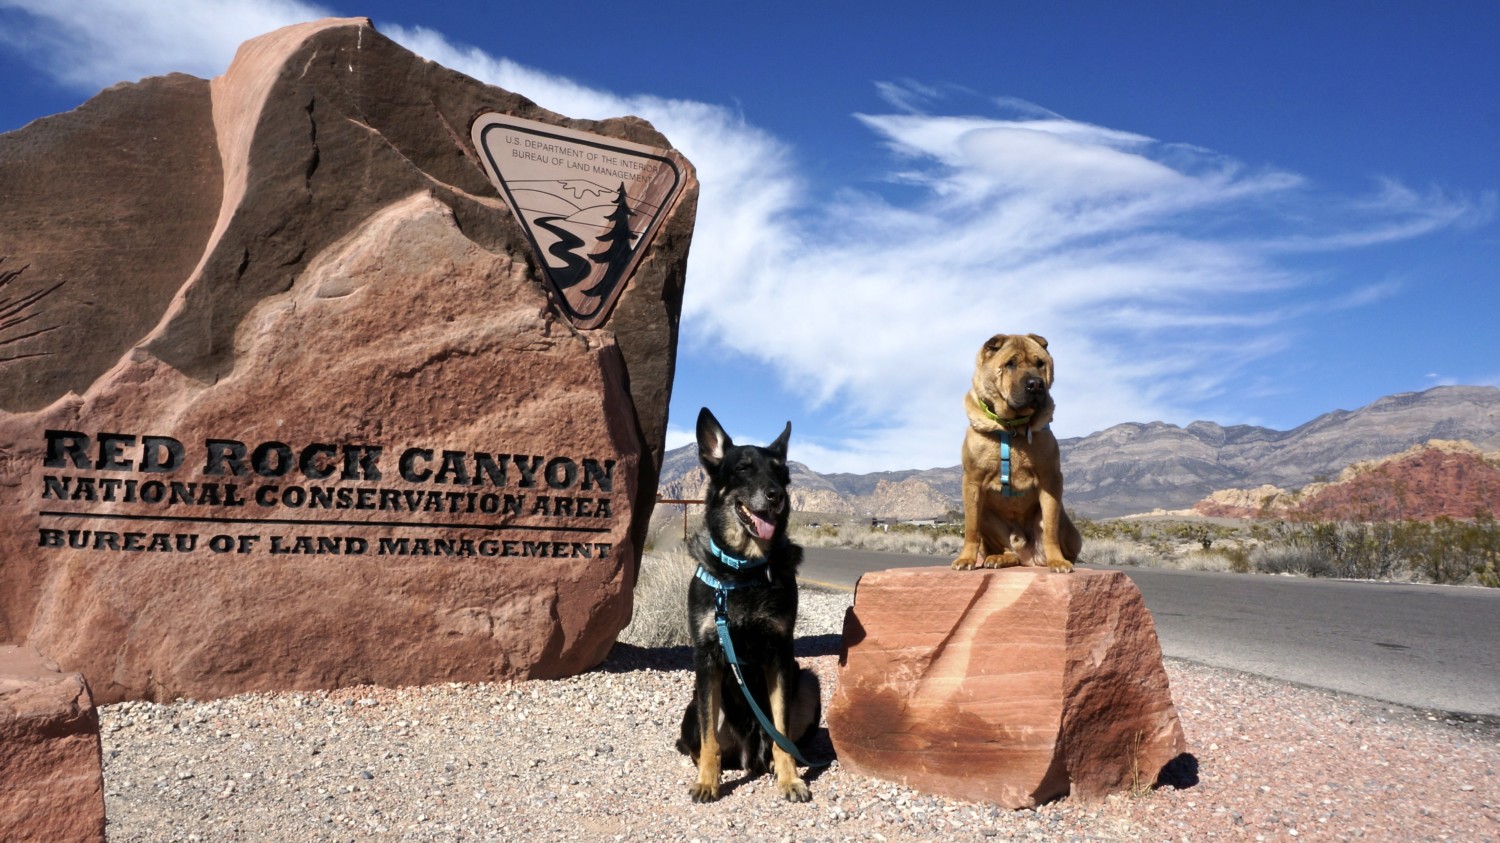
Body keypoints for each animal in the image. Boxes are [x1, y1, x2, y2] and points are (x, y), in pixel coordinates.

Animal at [678, 408, 822, 798]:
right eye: (743, 468)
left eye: (782, 473)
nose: (777, 496)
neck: (743, 569)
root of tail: (748, 755)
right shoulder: (707, 657)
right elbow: (709, 740)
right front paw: (708, 782)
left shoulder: (779, 654)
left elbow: (782, 731)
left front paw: (790, 779)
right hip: (692, 707)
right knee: (700, 741)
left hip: (808, 682)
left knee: (781, 741)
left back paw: (775, 764)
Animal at [954, 330, 1086, 570]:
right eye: (1010, 364)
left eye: (1040, 363)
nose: (1035, 384)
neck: (1011, 427)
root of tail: (1028, 559)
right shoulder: (972, 481)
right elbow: (971, 529)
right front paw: (966, 559)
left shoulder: (1050, 480)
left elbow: (1050, 530)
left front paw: (1057, 561)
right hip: (988, 516)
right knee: (1007, 548)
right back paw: (999, 558)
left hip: (1071, 532)